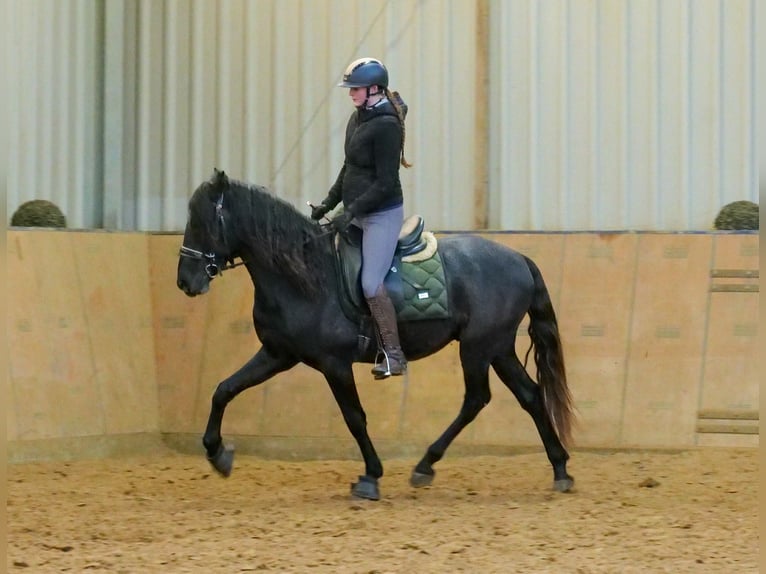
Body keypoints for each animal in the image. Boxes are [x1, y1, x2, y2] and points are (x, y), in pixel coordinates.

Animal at [178, 169, 576, 502]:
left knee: (477, 399)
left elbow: (354, 417)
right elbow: (224, 389)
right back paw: (560, 469)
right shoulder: (278, 354)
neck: (306, 275)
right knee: (529, 395)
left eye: (203, 221)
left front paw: (370, 477)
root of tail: (518, 258)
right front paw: (217, 454)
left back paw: (425, 465)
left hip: (478, 347)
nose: (185, 282)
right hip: (498, 347)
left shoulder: (334, 364)